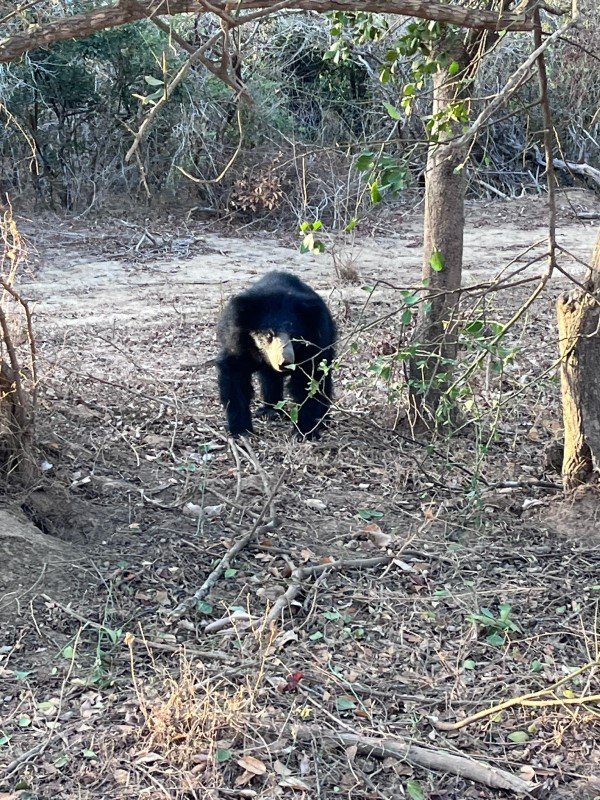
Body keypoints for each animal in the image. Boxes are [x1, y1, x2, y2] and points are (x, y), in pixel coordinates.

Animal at [216, 271, 336, 439]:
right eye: (269, 335)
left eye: (294, 336)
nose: (285, 362)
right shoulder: (237, 343)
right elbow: (235, 377)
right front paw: (241, 431)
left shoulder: (316, 343)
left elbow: (309, 381)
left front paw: (304, 432)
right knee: (270, 378)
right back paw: (269, 411)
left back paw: (324, 420)